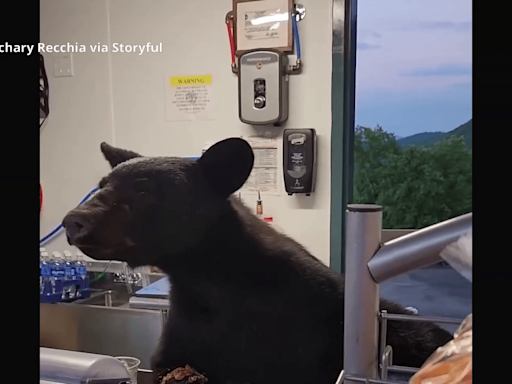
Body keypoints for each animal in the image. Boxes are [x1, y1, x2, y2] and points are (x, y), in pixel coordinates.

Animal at [63, 138, 452, 384]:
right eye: (101, 184)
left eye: (143, 190)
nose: (74, 220)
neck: (208, 277)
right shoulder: (187, 327)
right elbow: (172, 361)